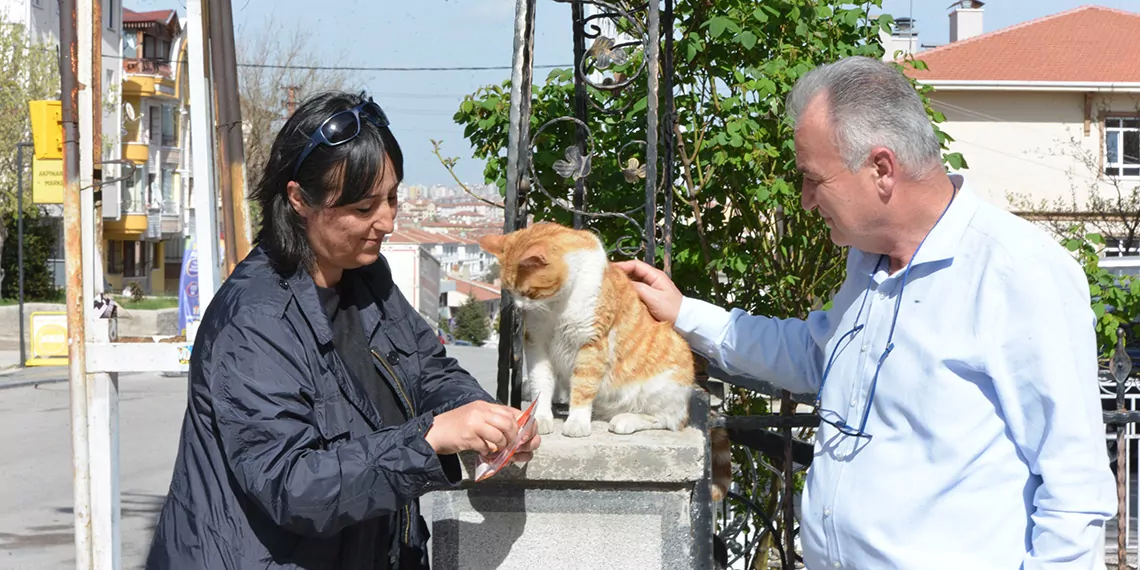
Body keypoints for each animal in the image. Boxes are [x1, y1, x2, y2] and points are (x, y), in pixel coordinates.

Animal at [474, 221, 697, 435]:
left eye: (528, 292)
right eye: (509, 290)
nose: (519, 307)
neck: (557, 305)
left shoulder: (591, 343)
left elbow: (583, 387)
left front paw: (577, 423)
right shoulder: (537, 343)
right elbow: (541, 383)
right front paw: (538, 419)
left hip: (666, 383)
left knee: (667, 420)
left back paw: (626, 420)